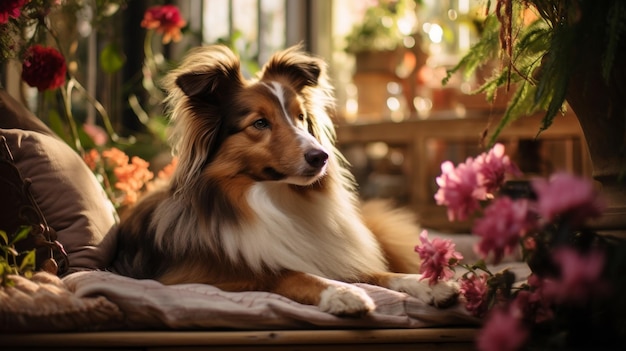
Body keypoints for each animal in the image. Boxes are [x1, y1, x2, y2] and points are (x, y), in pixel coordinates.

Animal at [111, 44, 458, 316]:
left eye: (301, 117)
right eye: (260, 123)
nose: (321, 157)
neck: (272, 198)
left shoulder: (334, 257)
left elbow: (379, 273)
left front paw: (431, 285)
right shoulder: (197, 273)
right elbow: (289, 275)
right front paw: (341, 293)